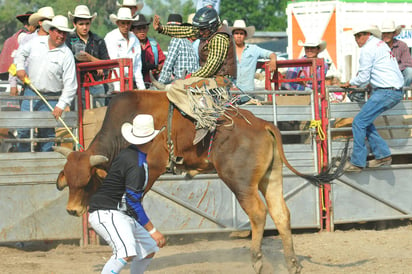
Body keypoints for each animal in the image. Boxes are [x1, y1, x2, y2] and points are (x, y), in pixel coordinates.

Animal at [54, 90, 342, 274]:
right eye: (69, 180)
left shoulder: (151, 168)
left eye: (87, 182)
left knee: (259, 213)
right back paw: (291, 263)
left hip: (240, 182)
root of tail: (262, 125)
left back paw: (257, 260)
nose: (72, 210)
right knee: (281, 213)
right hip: (271, 178)